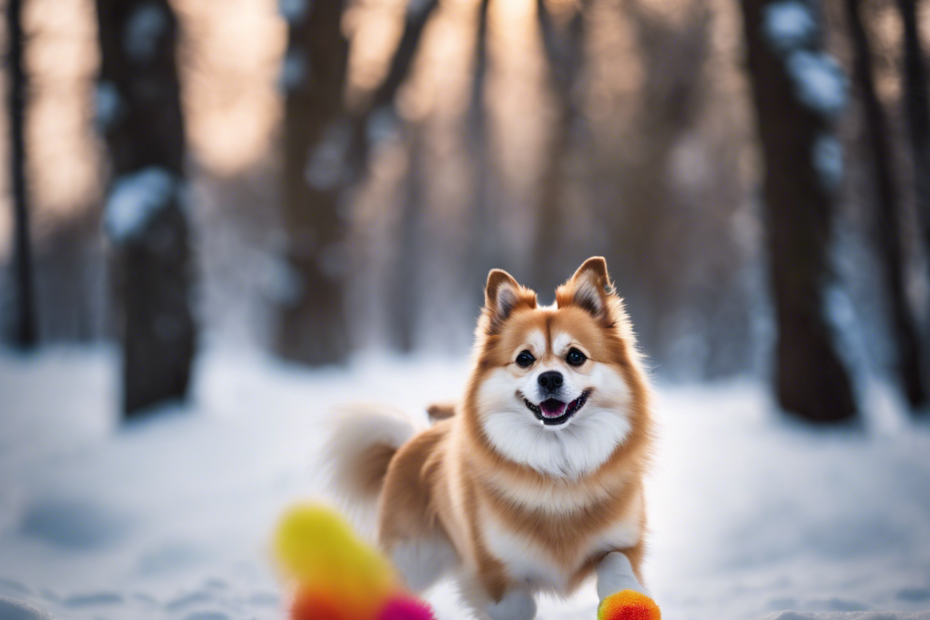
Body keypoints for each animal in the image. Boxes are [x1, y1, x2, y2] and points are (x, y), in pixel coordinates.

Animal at [326, 256, 652, 620]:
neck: (559, 467)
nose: (550, 378)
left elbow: (618, 568)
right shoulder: (493, 569)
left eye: (576, 356)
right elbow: (517, 604)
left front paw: (629, 601)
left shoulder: (623, 544)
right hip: (413, 559)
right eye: (525, 358)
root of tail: (413, 441)